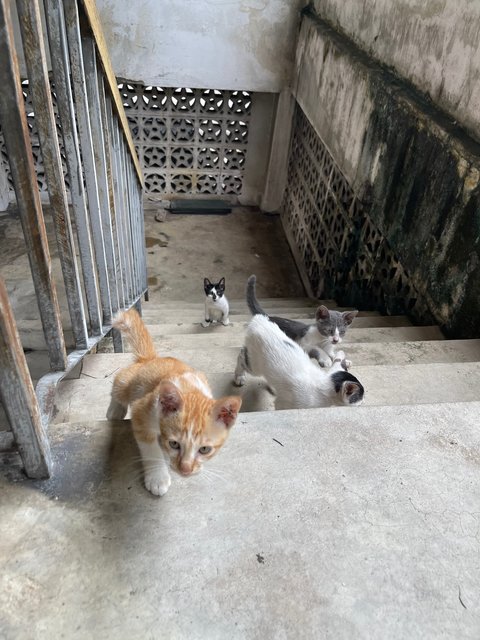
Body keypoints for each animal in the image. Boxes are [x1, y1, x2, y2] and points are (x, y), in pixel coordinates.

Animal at [105, 308, 240, 496]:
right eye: (174, 444)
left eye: (204, 449)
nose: (185, 470)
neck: (190, 389)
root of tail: (151, 359)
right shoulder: (143, 411)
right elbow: (150, 447)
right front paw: (157, 477)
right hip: (129, 382)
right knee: (120, 381)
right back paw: (115, 410)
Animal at [232, 316, 364, 410]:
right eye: (360, 396)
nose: (364, 401)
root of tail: (260, 320)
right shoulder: (287, 403)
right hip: (255, 364)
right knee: (241, 355)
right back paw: (239, 376)